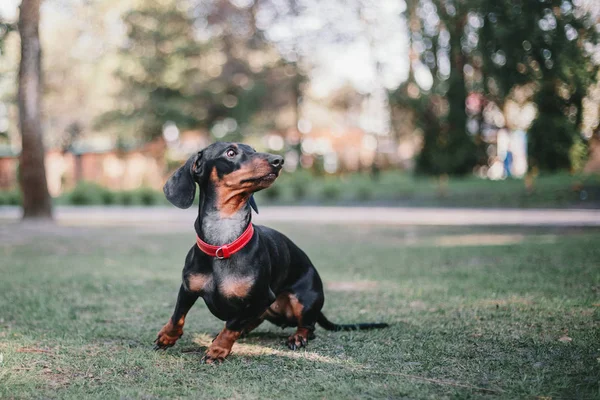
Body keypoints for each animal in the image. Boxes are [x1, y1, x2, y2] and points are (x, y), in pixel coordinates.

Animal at [155, 142, 390, 364]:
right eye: (231, 152)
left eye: (253, 149)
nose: (279, 160)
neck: (223, 243)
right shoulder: (188, 288)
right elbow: (177, 316)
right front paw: (167, 337)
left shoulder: (261, 298)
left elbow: (232, 325)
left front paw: (217, 350)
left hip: (303, 299)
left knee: (309, 327)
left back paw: (298, 337)